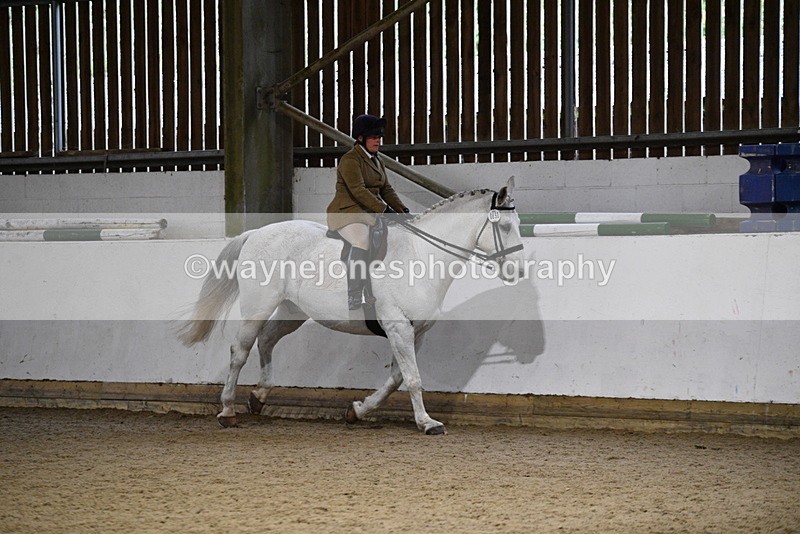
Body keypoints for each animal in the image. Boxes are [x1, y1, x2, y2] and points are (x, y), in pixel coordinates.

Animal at [178, 176, 525, 435]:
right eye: (505, 227)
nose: (518, 271)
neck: (422, 255)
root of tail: (256, 233)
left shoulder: (415, 331)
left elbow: (397, 378)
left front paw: (357, 411)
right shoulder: (398, 327)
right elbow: (413, 378)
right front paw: (427, 423)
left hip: (293, 312)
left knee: (266, 341)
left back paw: (258, 397)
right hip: (258, 308)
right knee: (240, 350)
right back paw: (227, 410)